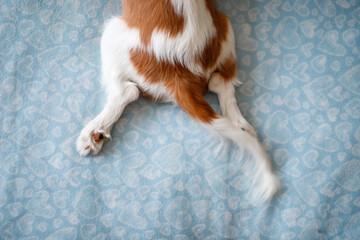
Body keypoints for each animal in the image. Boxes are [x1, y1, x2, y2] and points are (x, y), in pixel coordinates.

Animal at [76, 0, 278, 203]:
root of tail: (180, 75)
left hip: (111, 35)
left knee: (127, 91)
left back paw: (93, 133)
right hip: (225, 30)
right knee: (222, 82)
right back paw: (241, 125)